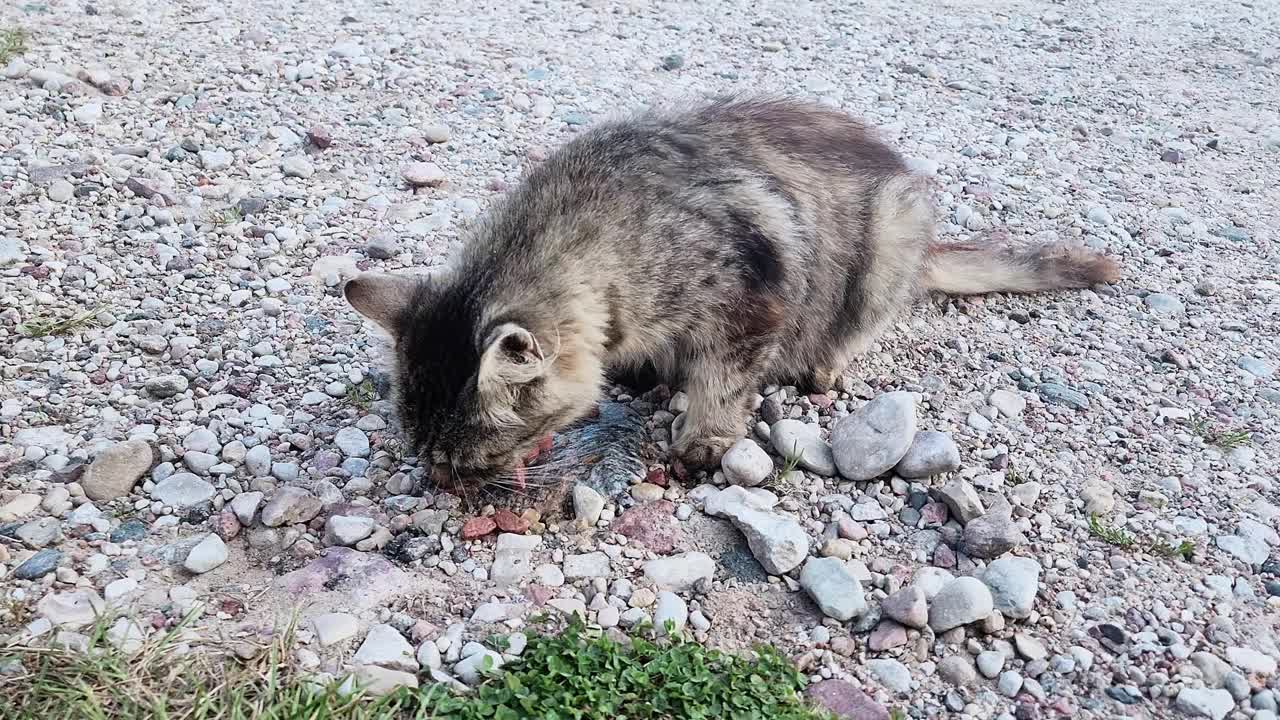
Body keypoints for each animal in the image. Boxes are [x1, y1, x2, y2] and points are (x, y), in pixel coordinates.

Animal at [345, 95, 1116, 484]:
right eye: (430, 459)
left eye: (470, 462)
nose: (441, 486)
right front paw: (648, 372)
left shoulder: (749, 302)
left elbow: (722, 384)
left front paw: (703, 439)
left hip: (893, 227)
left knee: (870, 316)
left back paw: (826, 361)